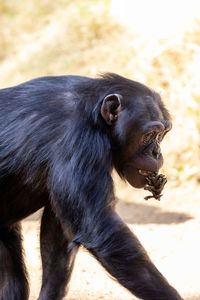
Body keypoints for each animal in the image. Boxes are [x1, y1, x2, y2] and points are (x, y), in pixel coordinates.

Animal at [0, 73, 183, 300]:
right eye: (149, 135)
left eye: (162, 134)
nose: (156, 153)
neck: (96, 117)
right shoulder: (81, 141)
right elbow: (98, 225)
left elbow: (58, 233)